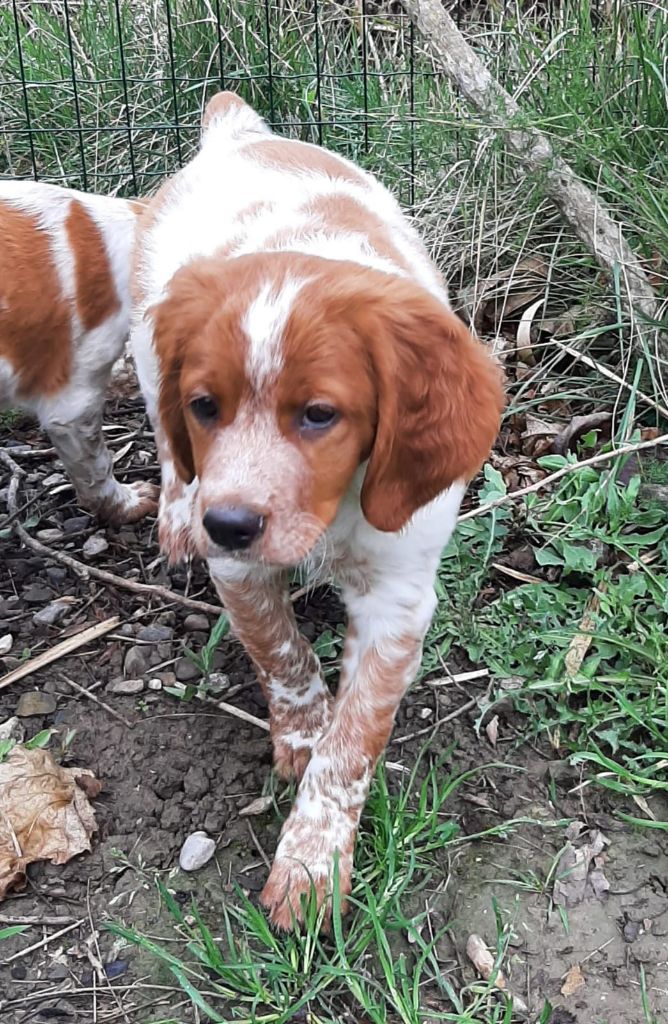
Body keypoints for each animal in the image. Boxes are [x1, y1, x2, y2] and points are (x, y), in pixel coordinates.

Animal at [130, 94, 504, 929]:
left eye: (319, 415)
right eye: (205, 405)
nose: (226, 524)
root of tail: (238, 130)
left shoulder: (400, 596)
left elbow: (355, 739)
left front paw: (310, 859)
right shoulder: (238, 568)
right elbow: (283, 654)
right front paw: (301, 738)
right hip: (144, 354)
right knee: (169, 454)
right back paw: (174, 510)